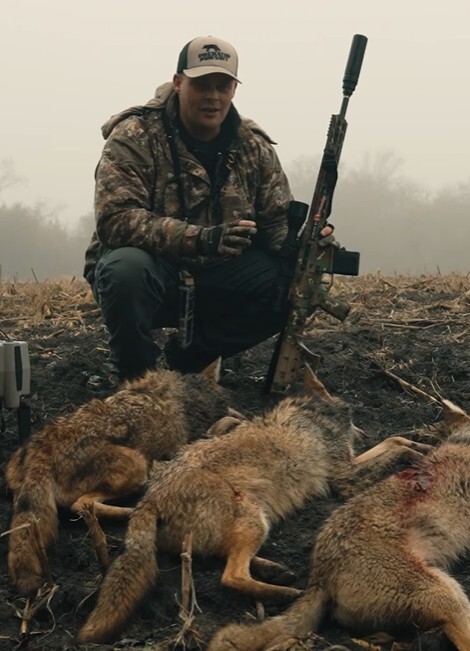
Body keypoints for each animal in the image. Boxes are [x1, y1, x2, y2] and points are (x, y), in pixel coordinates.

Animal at [78, 365, 431, 644]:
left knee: (228, 560)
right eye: (354, 418)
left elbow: (394, 440)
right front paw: (418, 452)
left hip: (251, 523)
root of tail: (151, 499)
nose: (363, 429)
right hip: (253, 520)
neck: (311, 414)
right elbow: (394, 447)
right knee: (230, 576)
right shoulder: (345, 479)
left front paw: (423, 443)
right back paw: (285, 593)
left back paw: (277, 571)